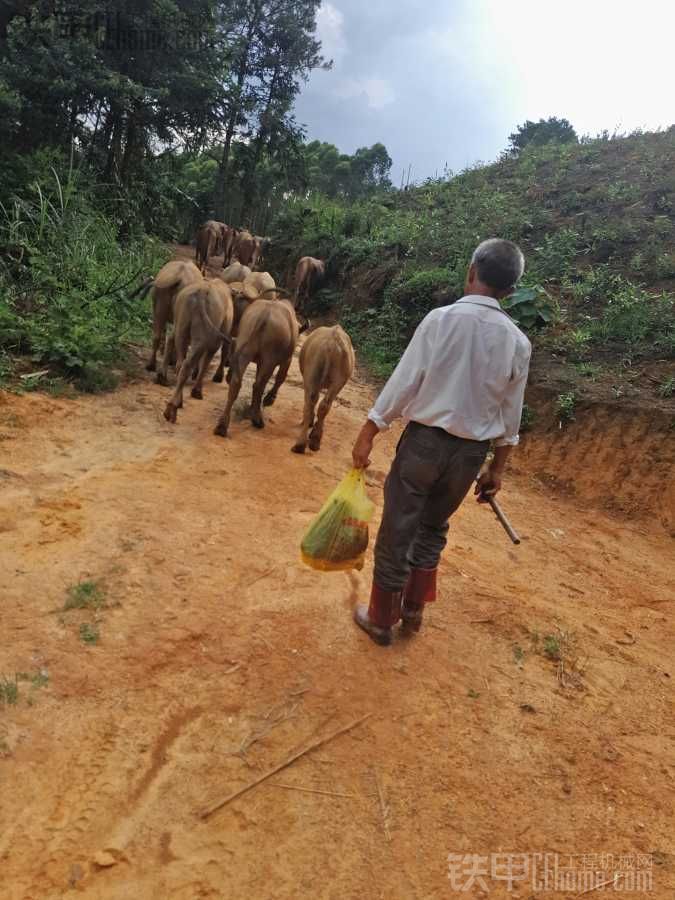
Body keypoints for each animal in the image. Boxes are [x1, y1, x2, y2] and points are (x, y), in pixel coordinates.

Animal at [162, 280, 234, 424]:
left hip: (183, 315)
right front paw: (197, 392)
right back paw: (174, 408)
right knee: (191, 358)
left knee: (181, 358)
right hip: (206, 321)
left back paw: (174, 406)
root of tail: (201, 293)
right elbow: (209, 354)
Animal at [215, 292, 300, 440]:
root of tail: (264, 316)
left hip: (245, 340)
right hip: (269, 357)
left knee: (236, 382)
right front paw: (269, 400)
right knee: (259, 384)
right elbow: (281, 377)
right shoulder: (287, 359)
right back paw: (257, 419)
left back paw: (222, 426)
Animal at [294, 324, 356, 454]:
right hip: (342, 365)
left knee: (311, 398)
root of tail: (332, 345)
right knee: (325, 401)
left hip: (314, 360)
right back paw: (314, 443)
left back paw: (300, 446)